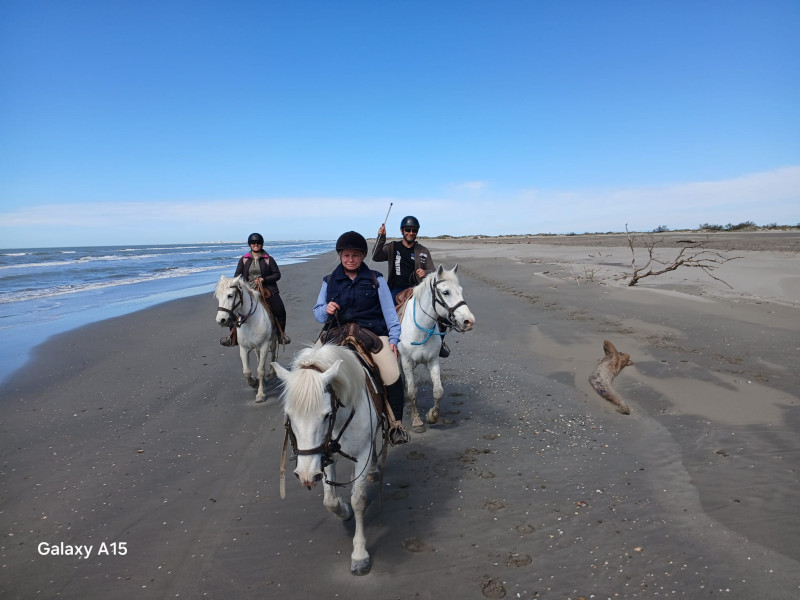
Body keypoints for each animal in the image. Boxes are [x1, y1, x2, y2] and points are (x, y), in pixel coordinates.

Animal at [214, 276, 280, 404]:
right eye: (218, 296)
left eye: (230, 295)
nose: (221, 320)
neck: (250, 321)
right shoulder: (244, 348)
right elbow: (247, 372)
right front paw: (254, 383)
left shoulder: (264, 345)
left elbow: (260, 370)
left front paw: (260, 394)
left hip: (273, 338)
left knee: (273, 351)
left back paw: (272, 371)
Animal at [274, 344, 382, 576]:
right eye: (289, 416)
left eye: (326, 415)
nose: (305, 474)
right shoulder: (323, 456)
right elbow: (330, 501)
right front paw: (344, 510)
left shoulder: (362, 452)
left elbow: (358, 500)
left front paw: (360, 555)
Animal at [396, 266, 472, 432]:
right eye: (446, 292)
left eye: (461, 290)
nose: (469, 321)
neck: (421, 329)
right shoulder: (406, 362)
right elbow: (413, 392)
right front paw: (417, 421)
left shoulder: (433, 360)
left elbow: (438, 391)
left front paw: (432, 416)